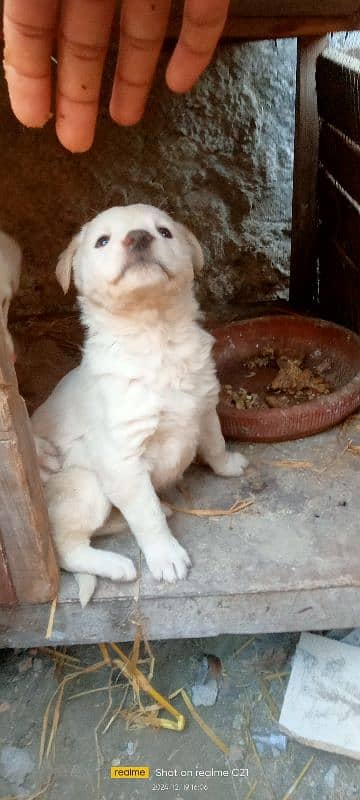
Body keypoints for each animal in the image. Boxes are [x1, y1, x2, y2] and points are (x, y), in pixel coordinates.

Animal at [31, 206, 248, 608]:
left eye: (163, 232)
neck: (156, 337)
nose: (139, 237)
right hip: (84, 485)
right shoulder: (124, 460)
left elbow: (215, 443)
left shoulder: (204, 405)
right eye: (102, 241)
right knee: (66, 547)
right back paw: (116, 565)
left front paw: (228, 466)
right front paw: (167, 558)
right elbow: (146, 517)